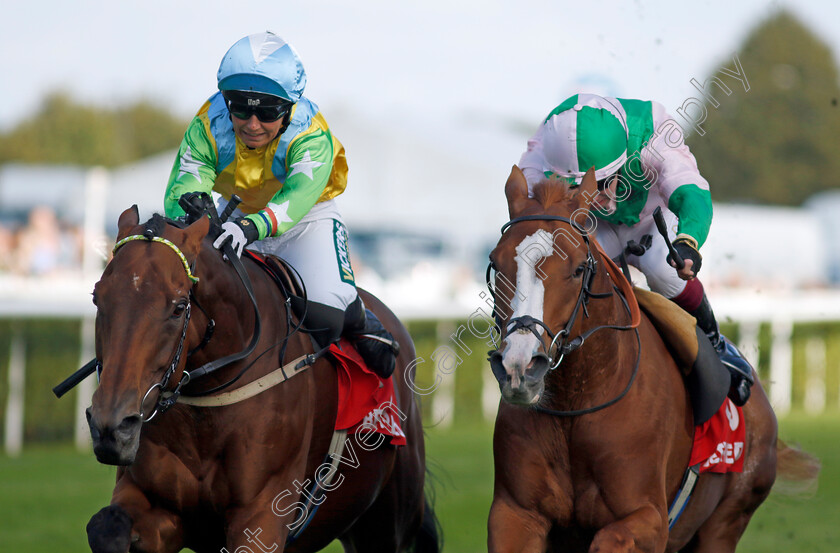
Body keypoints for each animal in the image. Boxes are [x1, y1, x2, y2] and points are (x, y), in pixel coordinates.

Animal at [85, 207, 440, 552]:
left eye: (179, 307)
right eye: (96, 297)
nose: (113, 427)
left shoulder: (262, 514)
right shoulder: (156, 505)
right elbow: (106, 527)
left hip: (386, 523)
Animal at [482, 165, 816, 552]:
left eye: (579, 268)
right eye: (495, 263)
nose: (519, 367)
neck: (575, 404)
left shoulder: (649, 519)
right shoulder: (515, 514)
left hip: (727, 520)